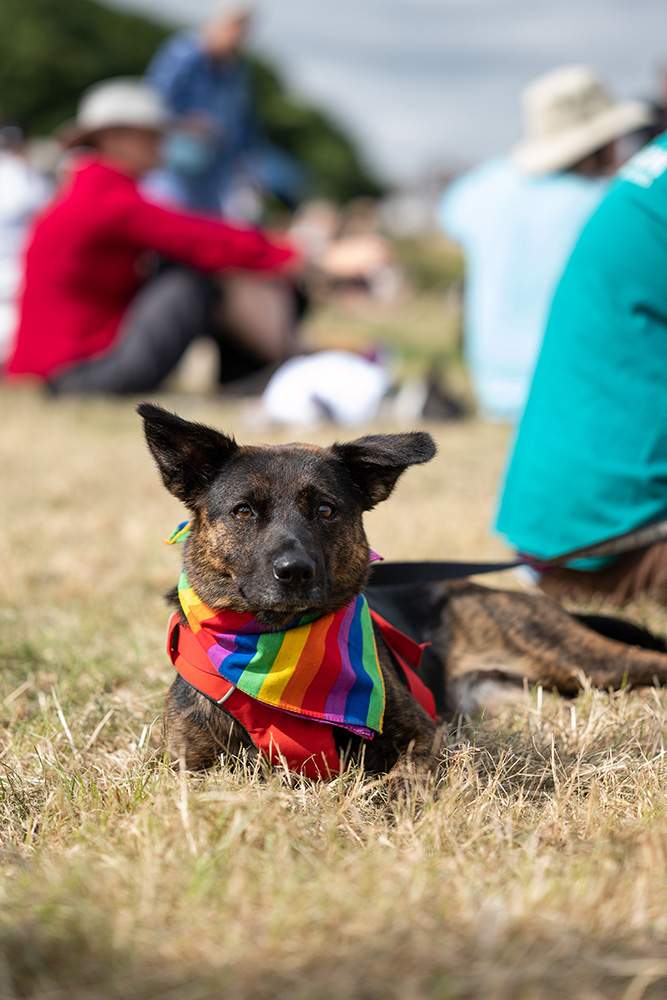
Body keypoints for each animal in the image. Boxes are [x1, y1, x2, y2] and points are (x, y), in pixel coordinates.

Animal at [138, 404, 667, 780]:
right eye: (244, 511)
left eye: (326, 510)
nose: (295, 571)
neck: (277, 651)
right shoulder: (186, 766)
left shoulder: (421, 735)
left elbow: (403, 777)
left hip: (577, 658)